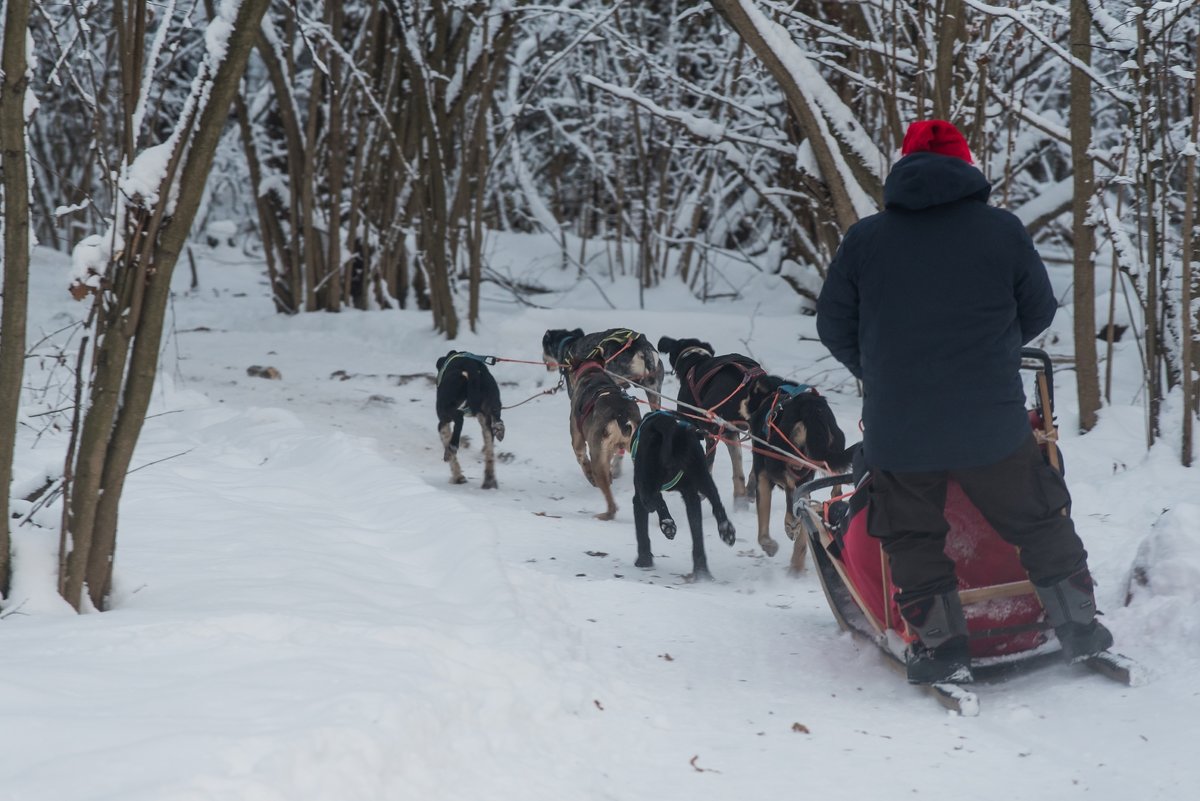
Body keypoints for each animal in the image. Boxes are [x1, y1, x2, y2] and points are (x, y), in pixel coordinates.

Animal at [434, 350, 504, 489]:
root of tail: (470, 366)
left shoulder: (443, 423)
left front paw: (457, 476)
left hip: (445, 409)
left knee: (459, 419)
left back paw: (451, 449)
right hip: (492, 407)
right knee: (491, 443)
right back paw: (489, 479)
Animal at [566, 359, 643, 522]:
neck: (592, 372)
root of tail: (621, 415)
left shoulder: (578, 442)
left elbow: (583, 461)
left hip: (597, 460)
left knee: (610, 501)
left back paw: (606, 514)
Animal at [633, 410, 734, 577]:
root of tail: (666, 422)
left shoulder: (638, 497)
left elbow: (642, 532)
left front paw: (643, 560)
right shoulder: (691, 494)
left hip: (646, 484)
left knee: (655, 500)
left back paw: (667, 524)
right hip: (701, 475)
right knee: (715, 503)